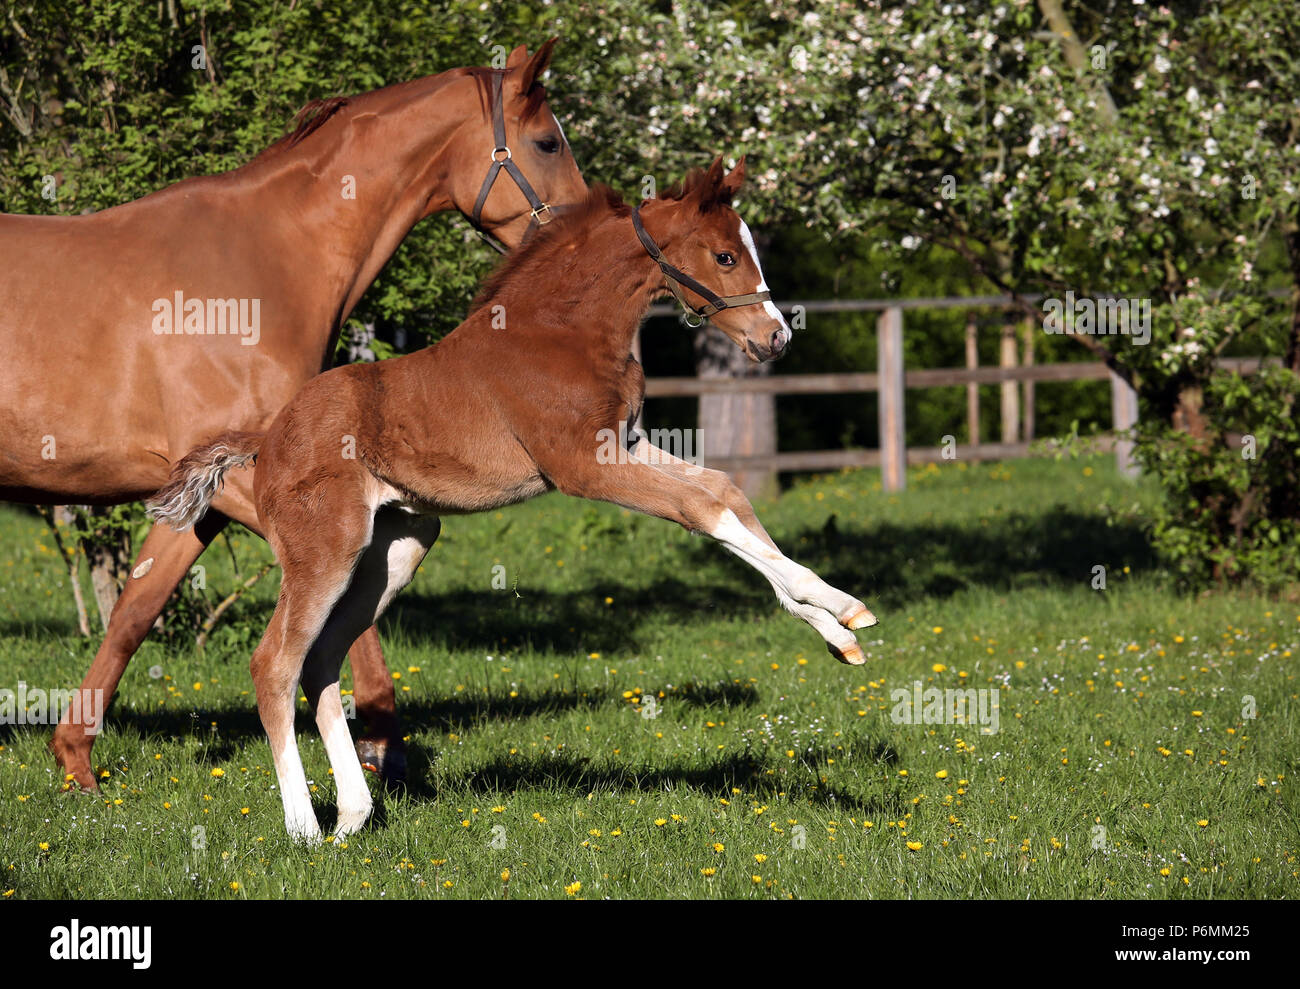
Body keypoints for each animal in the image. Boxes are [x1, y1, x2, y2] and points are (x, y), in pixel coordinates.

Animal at [147, 157, 878, 836]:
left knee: (322, 659)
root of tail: (266, 437)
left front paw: (835, 630)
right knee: (275, 662)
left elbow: (726, 492)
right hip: (324, 550)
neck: (559, 329)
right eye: (725, 255)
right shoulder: (583, 467)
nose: (776, 336)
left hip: (395, 549)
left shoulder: (625, 444)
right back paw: (304, 826)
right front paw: (843, 606)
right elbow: (703, 508)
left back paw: (354, 815)